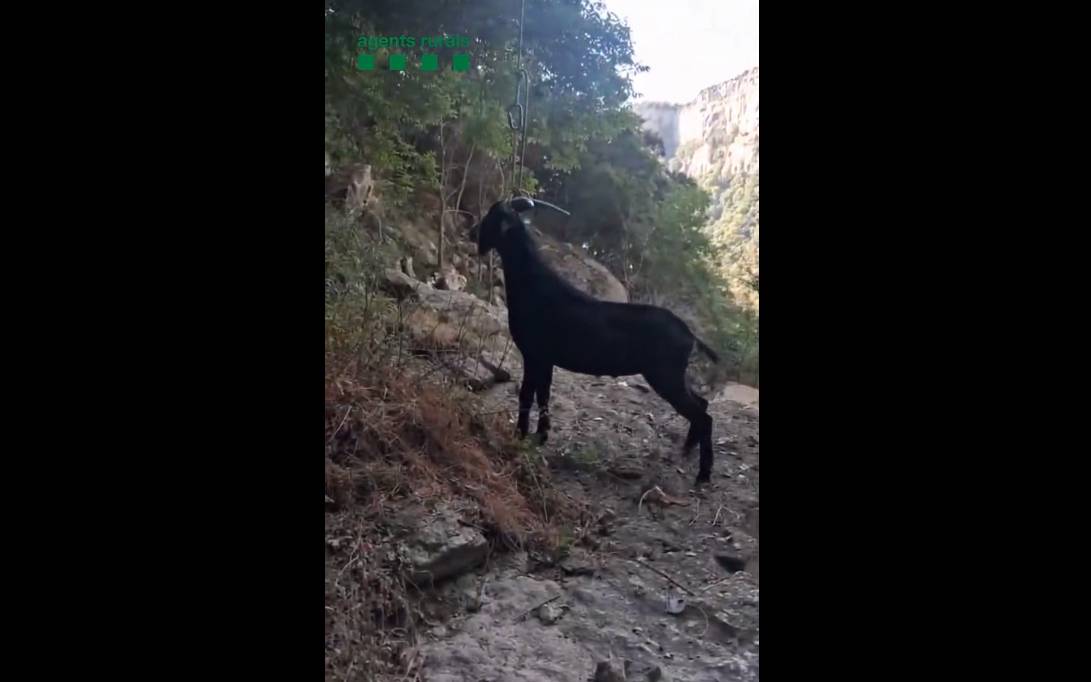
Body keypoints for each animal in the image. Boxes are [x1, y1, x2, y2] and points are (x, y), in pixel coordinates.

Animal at [472, 197, 720, 484]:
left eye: (491, 217)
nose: (472, 232)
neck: (533, 284)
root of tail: (689, 334)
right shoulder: (546, 360)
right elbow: (543, 395)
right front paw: (541, 435)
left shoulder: (534, 355)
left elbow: (527, 395)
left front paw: (520, 434)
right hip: (673, 375)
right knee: (702, 404)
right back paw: (687, 449)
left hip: (665, 376)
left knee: (704, 415)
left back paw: (703, 474)